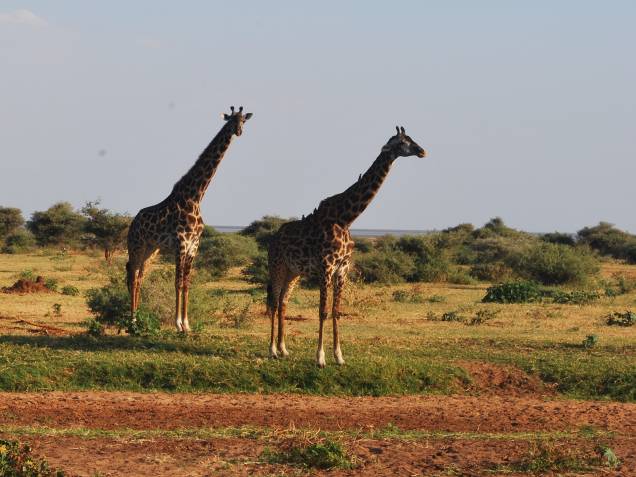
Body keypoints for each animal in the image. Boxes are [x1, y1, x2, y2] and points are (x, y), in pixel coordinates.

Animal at [126, 105, 251, 330]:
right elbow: (177, 282)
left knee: (140, 277)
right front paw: (177, 324)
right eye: (230, 121)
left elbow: (186, 283)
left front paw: (187, 324)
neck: (195, 196)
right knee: (132, 276)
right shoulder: (181, 243)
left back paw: (138, 317)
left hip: (151, 249)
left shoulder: (194, 245)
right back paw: (132, 320)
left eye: (243, 120)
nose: (238, 132)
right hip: (136, 246)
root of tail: (133, 223)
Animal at [266, 125, 424, 364]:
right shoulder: (326, 267)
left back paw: (284, 349)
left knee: (284, 301)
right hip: (277, 266)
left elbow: (336, 311)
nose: (422, 151)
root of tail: (272, 239)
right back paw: (272, 350)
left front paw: (339, 357)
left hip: (294, 271)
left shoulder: (342, 269)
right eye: (403, 142)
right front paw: (320, 358)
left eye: (411, 138)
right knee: (274, 303)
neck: (345, 218)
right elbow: (322, 311)